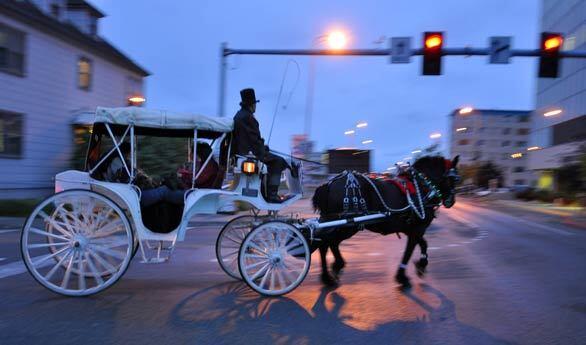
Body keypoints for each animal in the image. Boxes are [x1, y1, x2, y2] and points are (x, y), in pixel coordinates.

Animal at [312, 155, 458, 286]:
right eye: (454, 179)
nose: (451, 201)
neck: (422, 187)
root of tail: (329, 185)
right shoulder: (417, 228)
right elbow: (409, 251)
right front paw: (402, 276)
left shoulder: (410, 229)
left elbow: (423, 244)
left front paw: (421, 265)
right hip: (347, 226)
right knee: (328, 243)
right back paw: (335, 268)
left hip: (333, 223)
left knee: (325, 244)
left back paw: (328, 275)